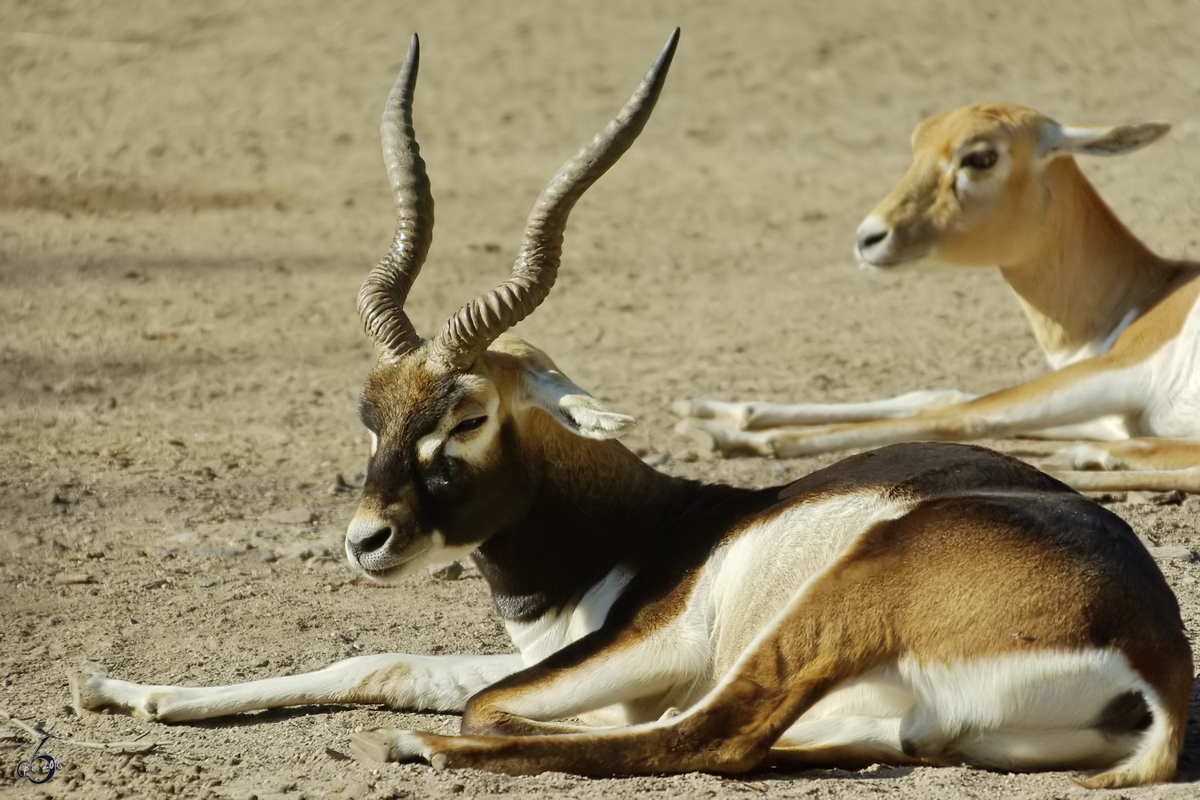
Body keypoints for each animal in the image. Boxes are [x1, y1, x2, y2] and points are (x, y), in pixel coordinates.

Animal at [681, 100, 1200, 494]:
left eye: (980, 157)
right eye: (917, 146)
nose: (870, 237)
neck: (1143, 296)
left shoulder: (1118, 371)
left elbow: (961, 416)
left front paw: (718, 433)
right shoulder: (1111, 412)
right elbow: (937, 396)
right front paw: (711, 409)